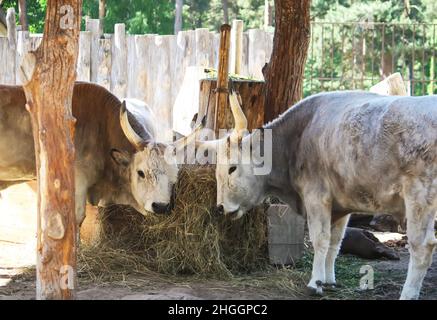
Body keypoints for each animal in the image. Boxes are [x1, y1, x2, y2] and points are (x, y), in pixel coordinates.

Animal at [199, 90, 436, 300]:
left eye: (232, 168)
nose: (220, 207)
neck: (299, 135)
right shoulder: (342, 205)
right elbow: (335, 241)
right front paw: (329, 280)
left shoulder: (316, 197)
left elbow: (320, 239)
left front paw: (315, 283)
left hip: (419, 197)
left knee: (422, 248)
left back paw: (408, 294)